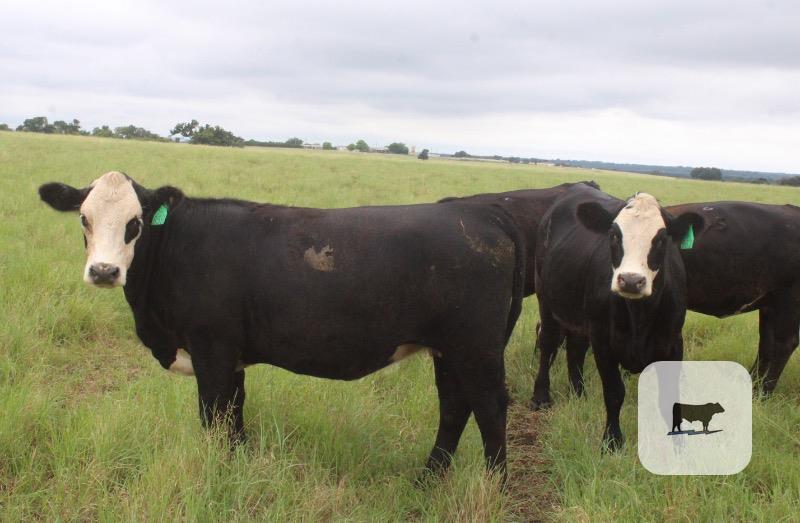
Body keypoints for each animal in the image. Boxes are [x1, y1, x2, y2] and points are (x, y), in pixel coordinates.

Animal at [38, 171, 526, 478]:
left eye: (135, 223)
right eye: (84, 218)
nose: (104, 271)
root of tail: (481, 213)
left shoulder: (211, 350)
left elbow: (213, 416)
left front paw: (218, 472)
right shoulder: (231, 358)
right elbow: (234, 415)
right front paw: (237, 465)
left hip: (476, 349)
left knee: (489, 408)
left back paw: (495, 486)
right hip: (449, 350)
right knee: (454, 407)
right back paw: (427, 479)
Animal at [532, 184, 699, 450]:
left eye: (661, 239)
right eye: (613, 235)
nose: (631, 280)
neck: (639, 316)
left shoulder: (673, 343)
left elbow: (670, 394)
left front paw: (678, 445)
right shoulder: (603, 341)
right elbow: (614, 392)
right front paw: (611, 441)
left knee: (575, 348)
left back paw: (578, 394)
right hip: (545, 297)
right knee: (548, 343)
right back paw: (541, 396)